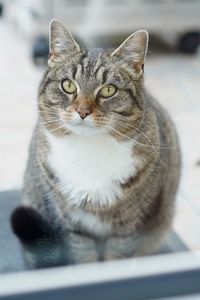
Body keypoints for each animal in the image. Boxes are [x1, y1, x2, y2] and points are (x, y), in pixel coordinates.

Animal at [11, 19, 181, 268]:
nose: (82, 111)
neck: (89, 151)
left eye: (109, 90)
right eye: (68, 85)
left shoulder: (127, 227)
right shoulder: (73, 226)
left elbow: (115, 259)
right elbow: (84, 259)